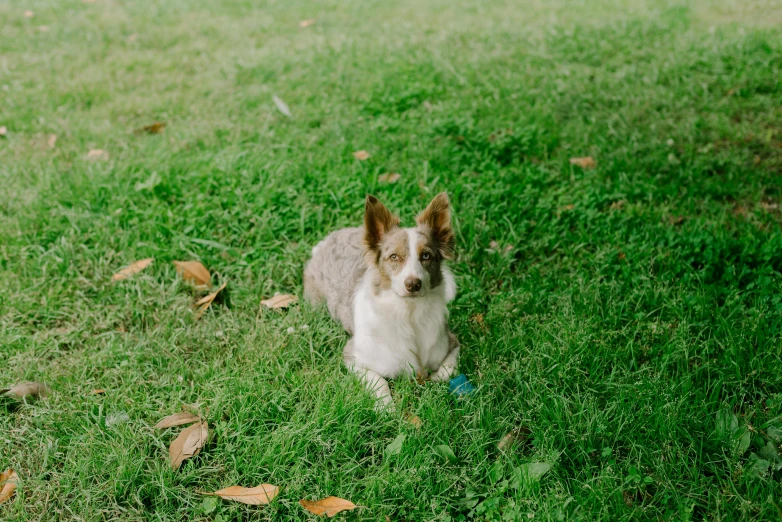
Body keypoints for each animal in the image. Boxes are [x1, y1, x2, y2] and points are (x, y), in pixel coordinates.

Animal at [302, 193, 460, 408]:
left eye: (426, 255)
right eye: (394, 256)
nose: (413, 284)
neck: (408, 314)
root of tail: (326, 241)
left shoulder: (451, 343)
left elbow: (446, 371)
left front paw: (434, 380)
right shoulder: (354, 357)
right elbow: (380, 382)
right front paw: (387, 409)